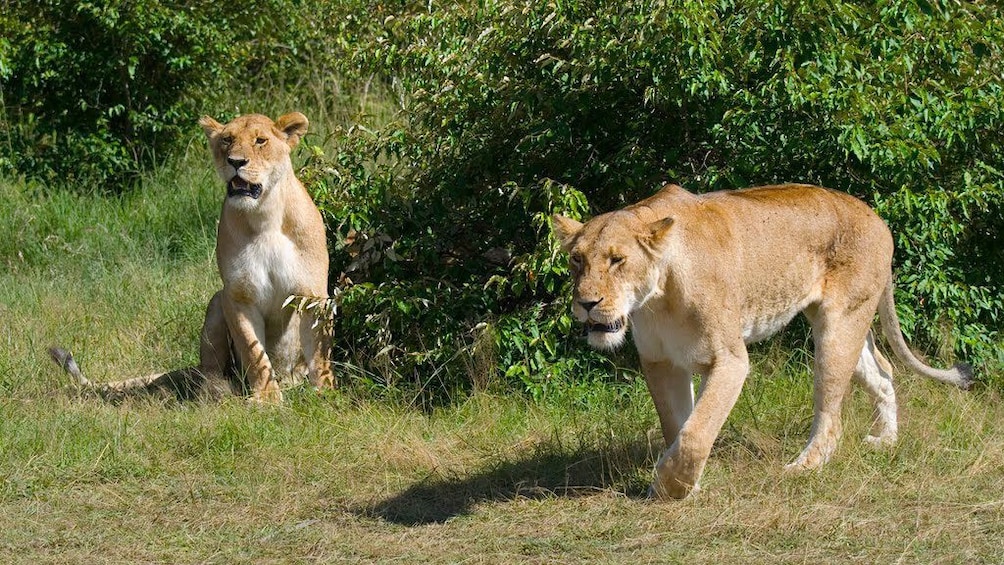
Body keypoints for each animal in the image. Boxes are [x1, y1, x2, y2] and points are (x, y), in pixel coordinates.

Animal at [49, 112, 333, 401]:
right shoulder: (238, 296)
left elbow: (320, 351)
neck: (265, 215)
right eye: (227, 140)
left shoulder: (314, 295)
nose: (235, 162)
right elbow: (254, 352)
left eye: (260, 141)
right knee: (209, 372)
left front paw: (325, 392)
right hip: (217, 303)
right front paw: (266, 397)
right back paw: (221, 390)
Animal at [550, 184, 971, 499]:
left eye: (617, 260)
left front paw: (670, 488)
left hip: (837, 329)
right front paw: (684, 482)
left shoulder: (729, 360)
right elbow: (677, 425)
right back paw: (886, 440)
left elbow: (696, 432)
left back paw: (802, 467)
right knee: (883, 371)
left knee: (831, 416)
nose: (587, 303)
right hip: (849, 322)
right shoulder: (661, 362)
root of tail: (877, 218)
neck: (657, 299)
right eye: (576, 260)